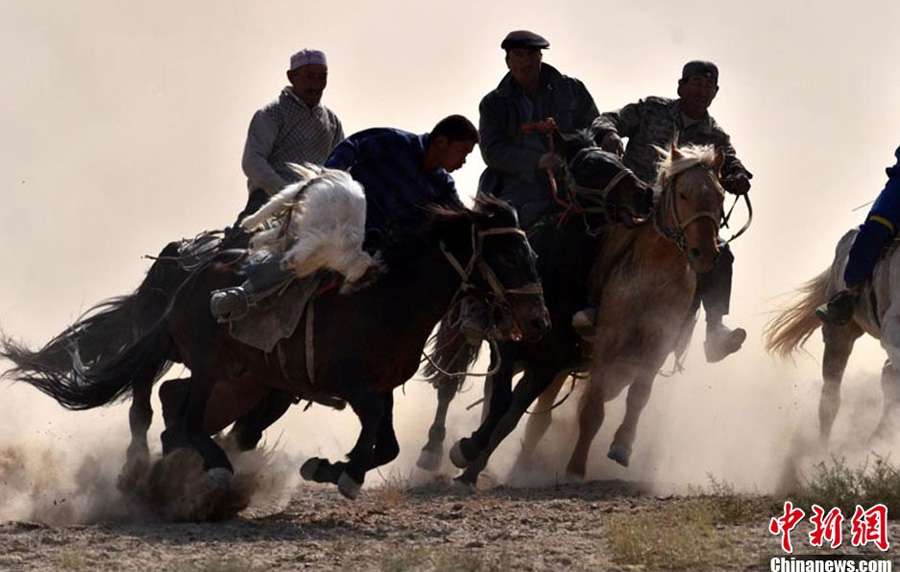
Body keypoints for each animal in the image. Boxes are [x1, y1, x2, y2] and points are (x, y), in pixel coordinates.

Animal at [1, 190, 548, 498]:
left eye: (530, 250)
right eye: (507, 253)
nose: (538, 320)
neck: (387, 297)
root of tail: (190, 277)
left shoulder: (381, 386)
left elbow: (387, 443)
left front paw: (330, 469)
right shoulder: (349, 382)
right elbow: (377, 432)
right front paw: (344, 473)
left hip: (244, 378)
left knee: (173, 406)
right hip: (212, 366)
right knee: (179, 412)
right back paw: (210, 470)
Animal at [430, 141, 732, 484]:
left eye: (720, 196)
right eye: (683, 194)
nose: (705, 253)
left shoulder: (578, 358)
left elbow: (514, 415)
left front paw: (620, 448)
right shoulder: (528, 344)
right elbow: (523, 404)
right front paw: (467, 451)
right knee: (451, 380)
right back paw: (434, 451)